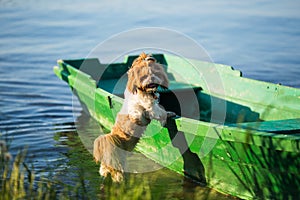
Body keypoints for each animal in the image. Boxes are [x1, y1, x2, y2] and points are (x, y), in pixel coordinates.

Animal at [92, 52, 170, 182]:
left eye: (155, 72)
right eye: (144, 75)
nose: (151, 79)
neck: (143, 90)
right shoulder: (149, 108)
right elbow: (159, 112)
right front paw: (166, 116)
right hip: (118, 166)